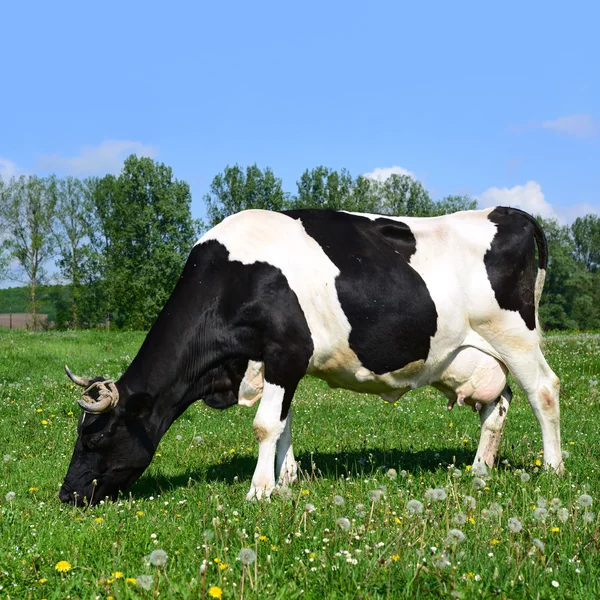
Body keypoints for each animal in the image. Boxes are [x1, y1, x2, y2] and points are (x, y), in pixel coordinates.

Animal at [59, 207, 564, 506]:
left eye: (96, 436)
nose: (66, 494)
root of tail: (507, 211)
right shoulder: (278, 364)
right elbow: (283, 423)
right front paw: (286, 480)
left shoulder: (287, 351)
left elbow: (265, 424)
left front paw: (259, 490)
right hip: (480, 354)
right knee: (498, 405)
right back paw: (479, 471)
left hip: (515, 336)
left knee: (544, 391)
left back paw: (553, 469)